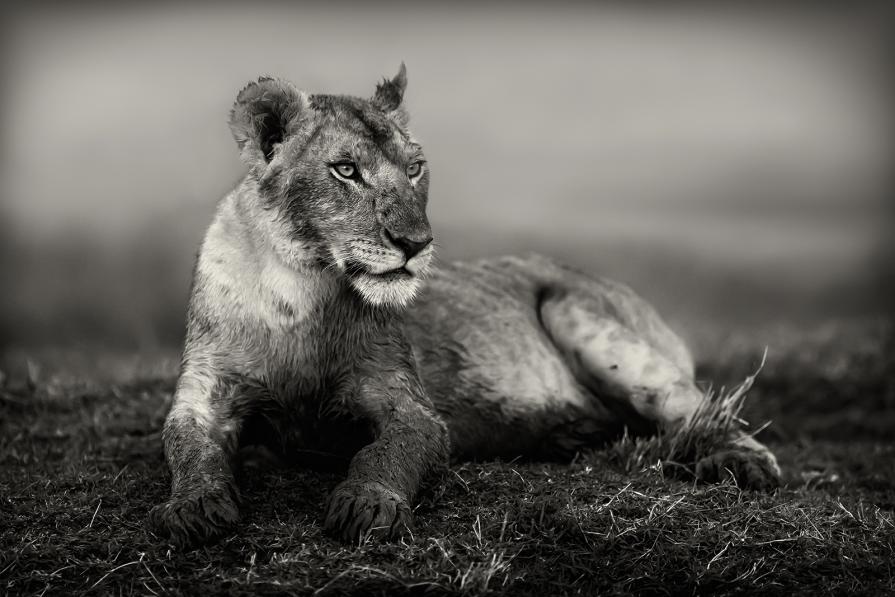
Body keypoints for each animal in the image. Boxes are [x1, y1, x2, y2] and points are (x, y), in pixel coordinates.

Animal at [150, 65, 780, 547]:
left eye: (415, 168)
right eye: (346, 170)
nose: (416, 242)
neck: (298, 293)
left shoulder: (410, 407)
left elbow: (385, 455)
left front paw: (366, 505)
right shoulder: (202, 398)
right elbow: (187, 449)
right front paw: (195, 508)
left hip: (578, 314)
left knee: (702, 409)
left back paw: (742, 463)